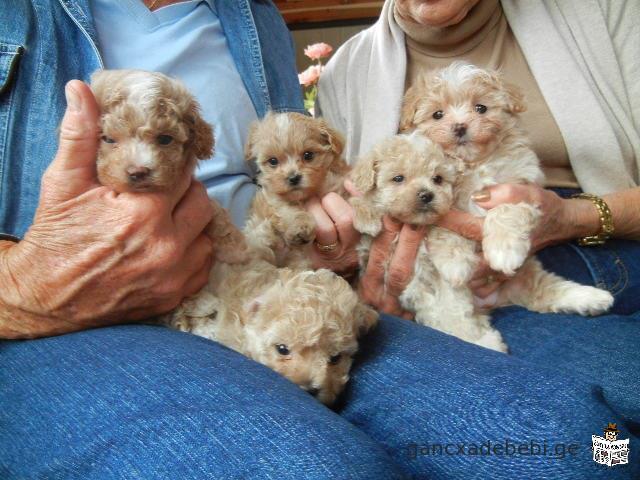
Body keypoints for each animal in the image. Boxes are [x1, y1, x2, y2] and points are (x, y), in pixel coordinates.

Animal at [244, 113, 348, 270]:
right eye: (273, 161)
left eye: (308, 155)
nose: (293, 178)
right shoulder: (272, 198)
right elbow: (288, 209)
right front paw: (301, 226)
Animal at [352, 132, 616, 352]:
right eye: (398, 178)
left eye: (437, 179)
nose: (426, 195)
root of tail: (494, 300)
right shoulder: (417, 283)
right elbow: (446, 311)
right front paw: (368, 216)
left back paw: (595, 298)